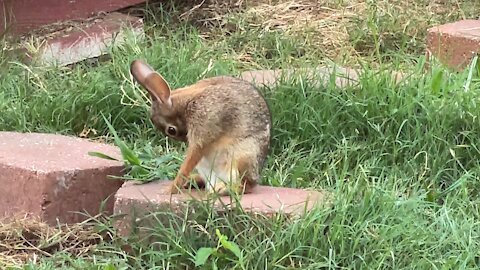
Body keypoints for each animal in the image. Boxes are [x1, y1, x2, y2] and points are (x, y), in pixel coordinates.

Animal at [129, 59, 272, 194]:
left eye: (171, 130)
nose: (184, 140)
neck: (186, 104)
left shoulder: (202, 128)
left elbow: (191, 158)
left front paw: (170, 189)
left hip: (240, 158)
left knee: (246, 185)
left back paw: (223, 189)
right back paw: (193, 181)